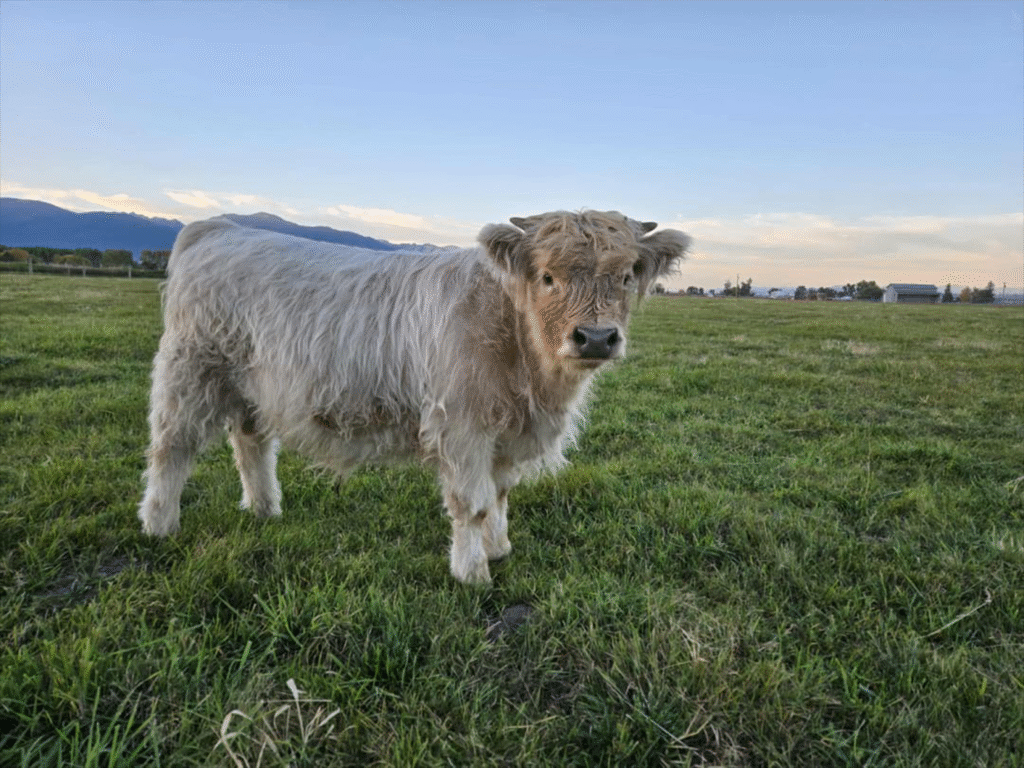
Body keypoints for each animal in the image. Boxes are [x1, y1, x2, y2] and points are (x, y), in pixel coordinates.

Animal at [139, 210, 690, 583]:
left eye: (626, 275)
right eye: (548, 277)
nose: (595, 338)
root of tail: (220, 227)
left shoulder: (506, 433)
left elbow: (500, 495)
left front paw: (499, 548)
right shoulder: (462, 426)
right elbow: (472, 503)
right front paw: (472, 572)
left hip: (253, 385)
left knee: (250, 442)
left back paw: (264, 509)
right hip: (191, 373)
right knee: (170, 449)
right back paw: (159, 525)